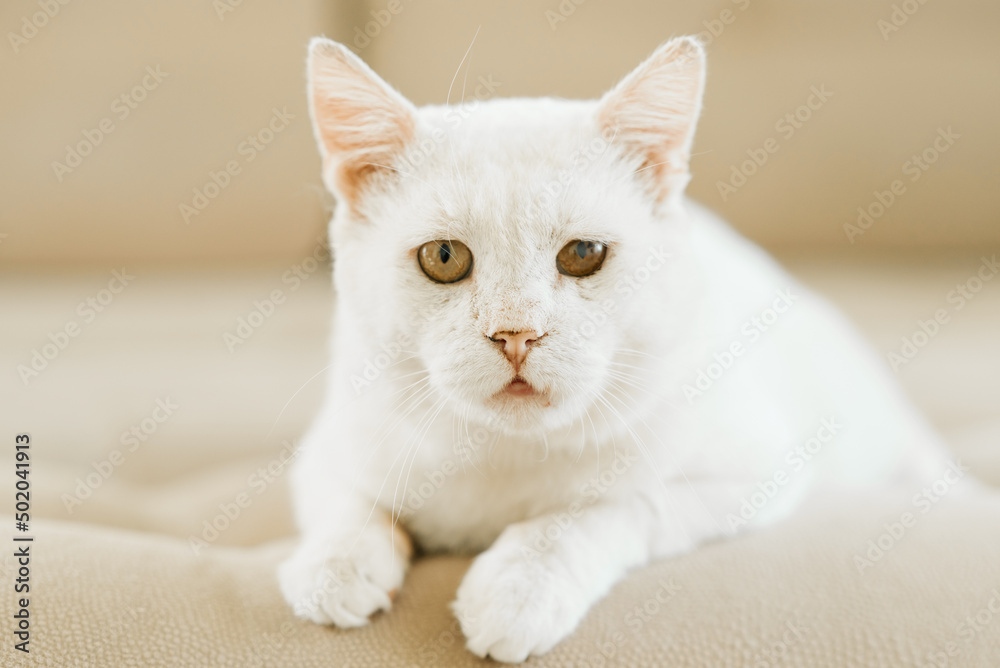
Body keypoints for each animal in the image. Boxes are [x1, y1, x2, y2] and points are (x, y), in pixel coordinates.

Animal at [278, 36, 948, 664]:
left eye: (584, 254)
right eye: (443, 258)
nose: (516, 334)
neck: (506, 455)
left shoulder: (751, 477)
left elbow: (600, 510)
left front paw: (520, 588)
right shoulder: (330, 446)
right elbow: (347, 506)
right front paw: (335, 567)